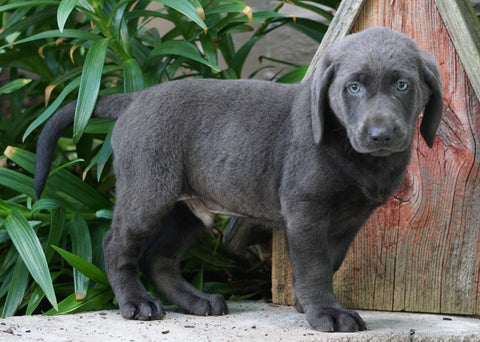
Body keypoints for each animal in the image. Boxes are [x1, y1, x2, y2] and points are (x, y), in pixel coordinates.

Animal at [34, 26, 442, 332]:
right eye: (353, 87)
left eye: (403, 85)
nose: (380, 135)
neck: (354, 155)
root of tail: (135, 98)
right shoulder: (306, 210)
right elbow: (314, 265)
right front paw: (326, 312)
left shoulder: (351, 219)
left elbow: (331, 262)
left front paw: (308, 304)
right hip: (148, 192)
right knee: (115, 244)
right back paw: (136, 303)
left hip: (189, 208)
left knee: (159, 257)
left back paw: (196, 301)